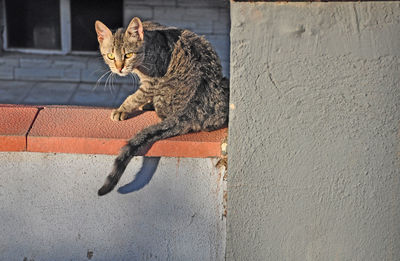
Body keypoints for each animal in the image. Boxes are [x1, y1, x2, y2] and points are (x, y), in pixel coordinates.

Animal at [93, 16, 228, 195]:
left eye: (128, 55)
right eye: (110, 56)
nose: (119, 68)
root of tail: (188, 112)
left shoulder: (152, 82)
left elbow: (135, 97)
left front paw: (122, 109)